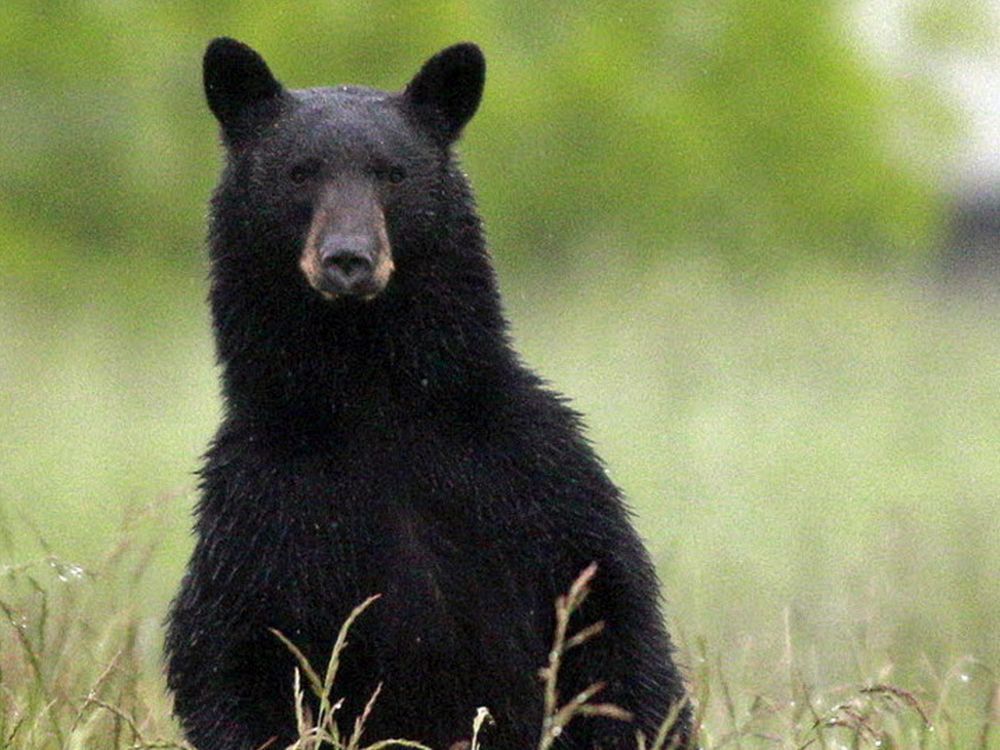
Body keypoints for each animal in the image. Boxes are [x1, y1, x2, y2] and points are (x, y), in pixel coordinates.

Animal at [165, 37, 691, 750]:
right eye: (299, 173)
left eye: (393, 173)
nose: (348, 259)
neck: (374, 397)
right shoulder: (264, 510)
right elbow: (232, 662)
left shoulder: (536, 479)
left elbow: (616, 642)